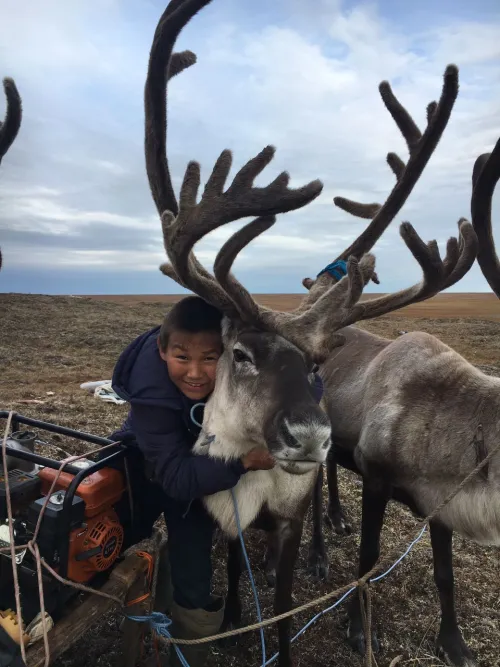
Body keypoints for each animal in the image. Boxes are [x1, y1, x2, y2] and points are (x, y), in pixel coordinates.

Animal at [142, 2, 480, 665]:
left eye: (315, 363)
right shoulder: (223, 514)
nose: (310, 436)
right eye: (240, 353)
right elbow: (237, 579)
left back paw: (328, 547)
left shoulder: (290, 517)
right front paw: (231, 619)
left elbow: (280, 600)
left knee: (324, 499)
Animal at [302, 131, 500, 666]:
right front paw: (356, 629)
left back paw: (337, 516)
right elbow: (367, 561)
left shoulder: (440, 501)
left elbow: (445, 574)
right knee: (312, 489)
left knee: (332, 471)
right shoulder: (375, 477)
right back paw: (319, 551)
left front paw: (454, 642)